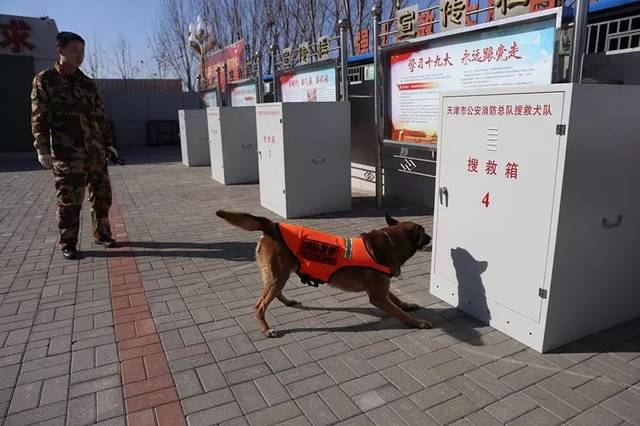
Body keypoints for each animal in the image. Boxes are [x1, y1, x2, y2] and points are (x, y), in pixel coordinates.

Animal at [218, 211, 432, 338]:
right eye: (424, 233)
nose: (431, 238)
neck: (391, 242)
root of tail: (272, 226)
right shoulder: (378, 297)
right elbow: (400, 313)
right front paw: (418, 323)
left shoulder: (382, 288)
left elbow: (396, 300)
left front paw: (407, 305)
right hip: (278, 275)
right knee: (260, 305)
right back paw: (266, 329)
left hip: (279, 274)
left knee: (274, 293)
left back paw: (288, 302)